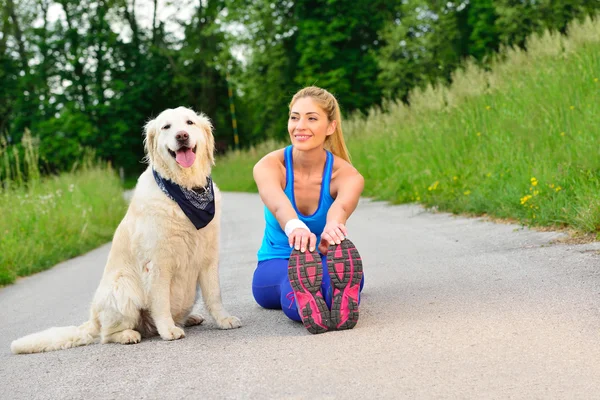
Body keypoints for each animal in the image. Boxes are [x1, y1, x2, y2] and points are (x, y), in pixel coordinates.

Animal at [11, 106, 241, 354]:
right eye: (166, 127)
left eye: (189, 123)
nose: (182, 136)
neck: (185, 189)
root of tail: (92, 320)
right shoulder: (157, 264)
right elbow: (161, 301)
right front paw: (168, 330)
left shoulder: (208, 258)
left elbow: (214, 295)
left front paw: (224, 319)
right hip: (122, 287)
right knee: (107, 335)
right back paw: (129, 335)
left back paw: (188, 319)